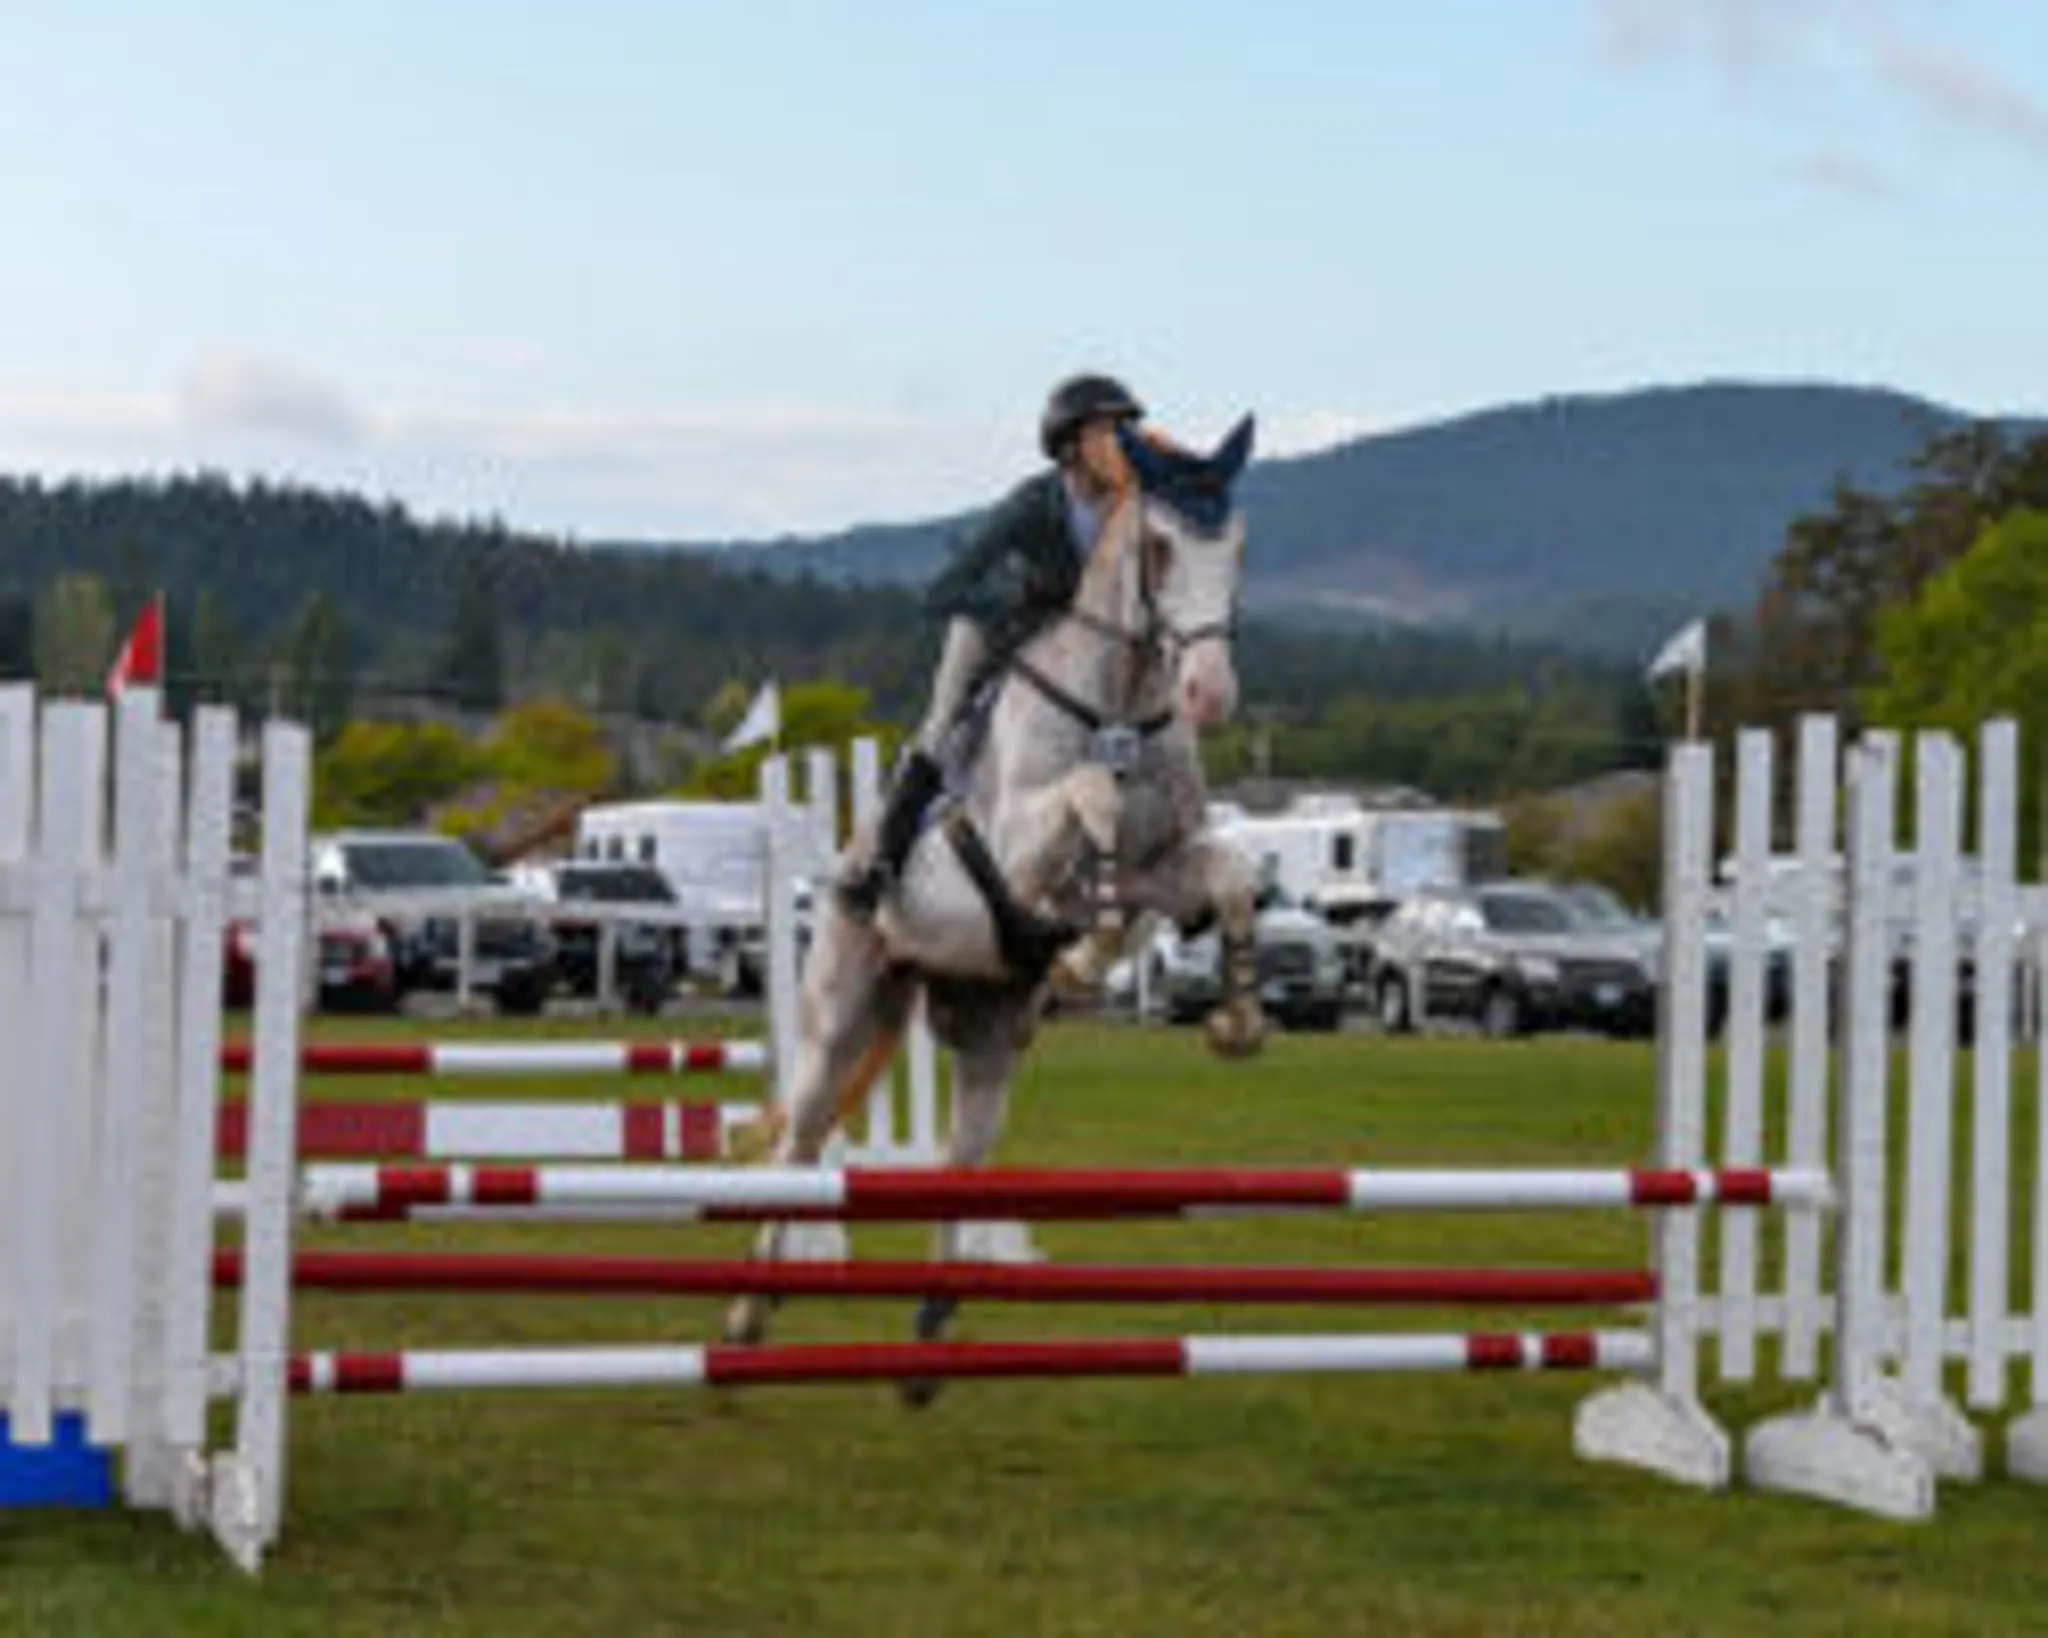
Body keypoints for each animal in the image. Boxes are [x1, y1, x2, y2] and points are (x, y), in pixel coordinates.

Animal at [723, 416, 1267, 1391]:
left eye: (1237, 546)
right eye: (1162, 549)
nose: (1209, 693)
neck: (1118, 697)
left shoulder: (1164, 865)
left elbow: (1224, 874)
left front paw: (1231, 1018)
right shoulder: (1013, 853)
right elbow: (1090, 798)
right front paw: (1085, 950)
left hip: (986, 1034)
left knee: (957, 1161)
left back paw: (930, 1334)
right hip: (841, 1013)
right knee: (801, 1143)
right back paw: (751, 1311)